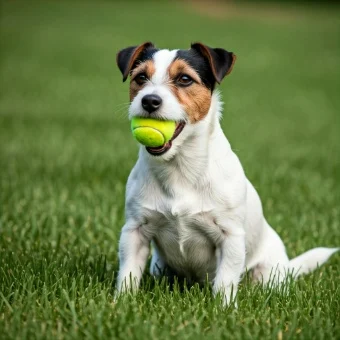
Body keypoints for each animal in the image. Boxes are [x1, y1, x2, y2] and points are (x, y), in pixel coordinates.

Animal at [115, 42, 338, 306]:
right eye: (140, 77)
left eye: (184, 79)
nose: (149, 100)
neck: (180, 167)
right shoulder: (134, 231)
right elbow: (128, 273)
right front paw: (121, 303)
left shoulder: (230, 237)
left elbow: (225, 280)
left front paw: (224, 308)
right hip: (159, 267)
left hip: (267, 272)